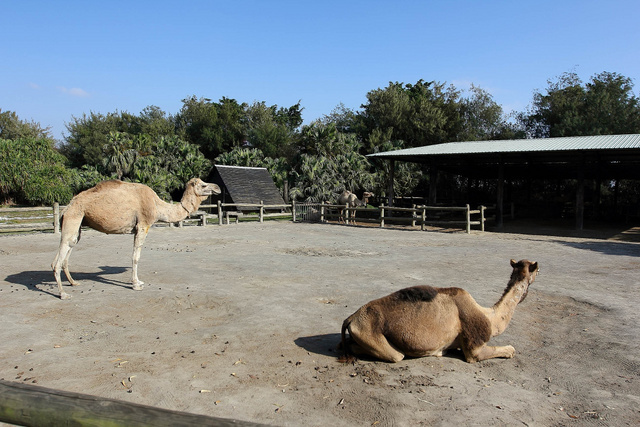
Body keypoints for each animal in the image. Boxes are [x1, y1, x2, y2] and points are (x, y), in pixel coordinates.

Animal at [50, 179, 220, 300]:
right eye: (204, 185)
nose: (217, 187)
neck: (157, 205)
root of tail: (67, 207)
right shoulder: (143, 225)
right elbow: (136, 257)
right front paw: (136, 284)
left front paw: (137, 282)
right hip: (74, 216)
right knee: (58, 258)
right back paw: (63, 294)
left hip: (79, 221)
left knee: (69, 248)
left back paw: (73, 282)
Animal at [340, 260, 540, 362]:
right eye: (537, 270)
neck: (490, 317)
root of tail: (351, 318)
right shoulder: (474, 348)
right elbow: (509, 350)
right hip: (371, 334)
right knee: (396, 355)